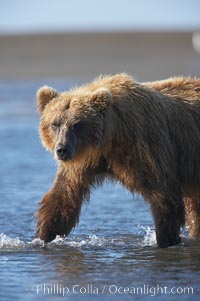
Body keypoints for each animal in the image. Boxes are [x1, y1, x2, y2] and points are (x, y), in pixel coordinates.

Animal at [36, 72, 200, 246]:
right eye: (55, 124)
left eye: (77, 124)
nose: (62, 150)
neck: (109, 140)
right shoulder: (82, 162)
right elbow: (63, 196)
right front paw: (43, 237)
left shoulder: (143, 149)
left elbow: (163, 195)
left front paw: (166, 240)